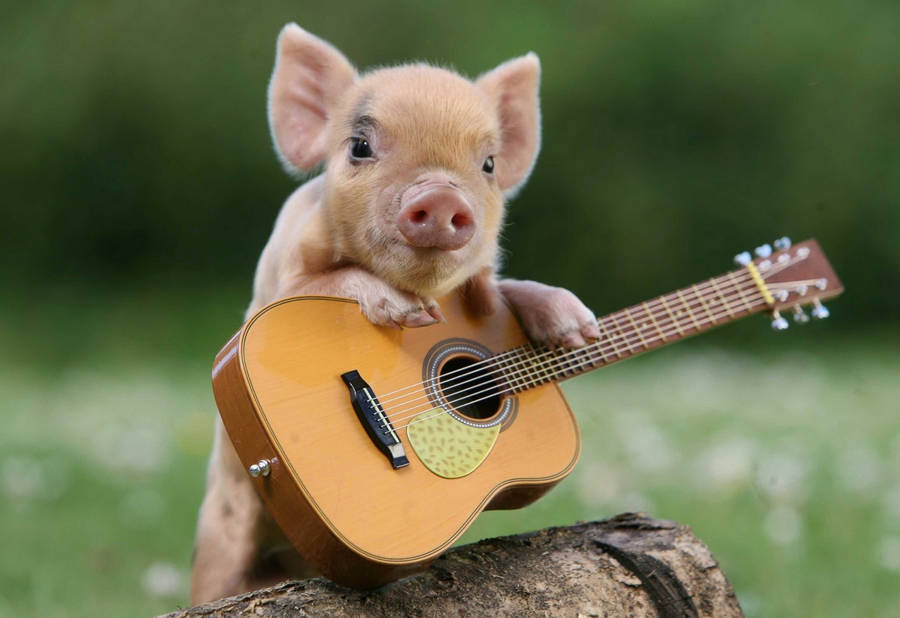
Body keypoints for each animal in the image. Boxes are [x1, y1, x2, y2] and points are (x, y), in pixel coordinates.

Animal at [190, 23, 600, 604]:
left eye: (489, 164)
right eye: (360, 146)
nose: (443, 195)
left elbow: (502, 289)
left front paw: (577, 326)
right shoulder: (277, 283)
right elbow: (331, 282)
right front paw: (407, 311)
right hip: (220, 550)